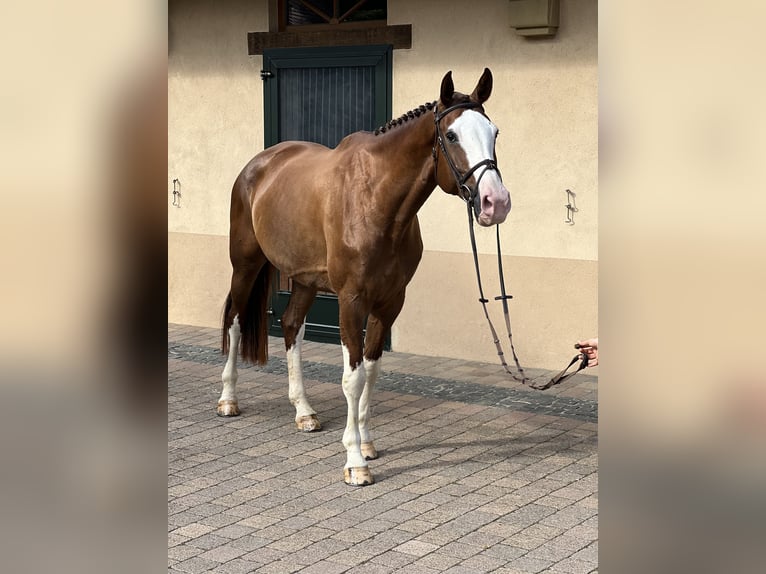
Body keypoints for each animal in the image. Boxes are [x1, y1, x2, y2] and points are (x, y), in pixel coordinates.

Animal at [219, 68, 511, 486]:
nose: (495, 202)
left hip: (305, 280)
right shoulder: (351, 300)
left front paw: (368, 443)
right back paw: (228, 400)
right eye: (452, 135)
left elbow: (371, 372)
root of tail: (258, 164)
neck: (376, 201)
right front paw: (355, 461)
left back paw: (304, 412)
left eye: (495, 132)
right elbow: (352, 378)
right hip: (245, 264)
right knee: (235, 319)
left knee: (291, 326)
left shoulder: (390, 302)